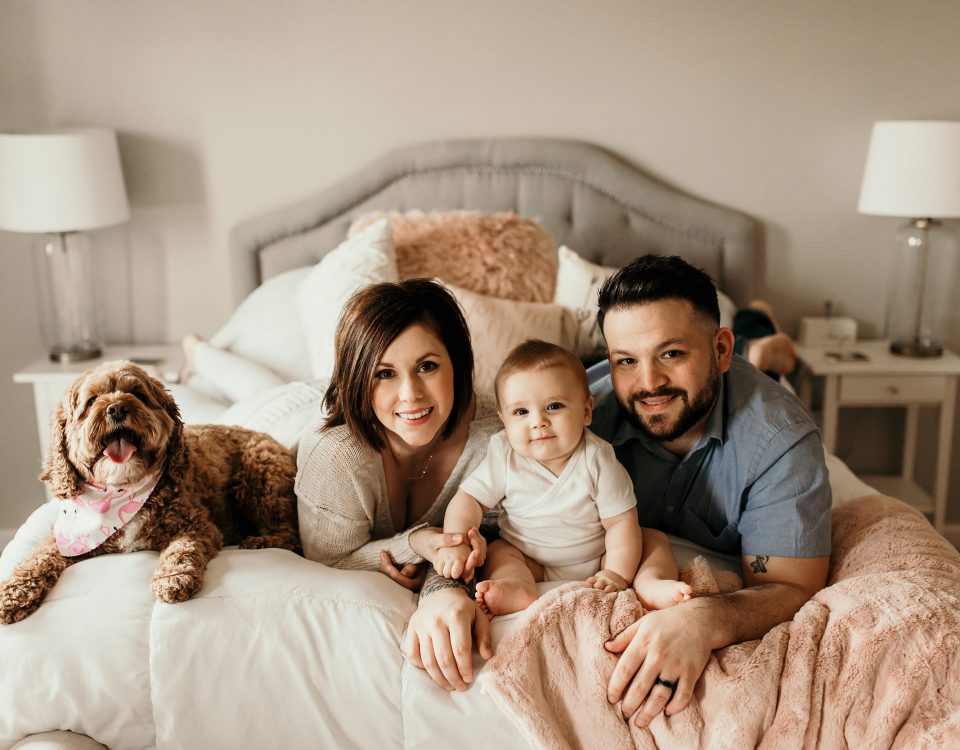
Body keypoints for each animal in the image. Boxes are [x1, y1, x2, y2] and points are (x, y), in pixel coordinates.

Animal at [0, 362, 300, 624]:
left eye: (138, 394)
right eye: (92, 400)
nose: (117, 408)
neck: (122, 489)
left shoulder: (198, 525)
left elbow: (182, 550)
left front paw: (173, 577)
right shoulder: (65, 539)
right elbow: (36, 558)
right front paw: (12, 593)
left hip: (259, 473)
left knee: (290, 534)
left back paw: (258, 541)